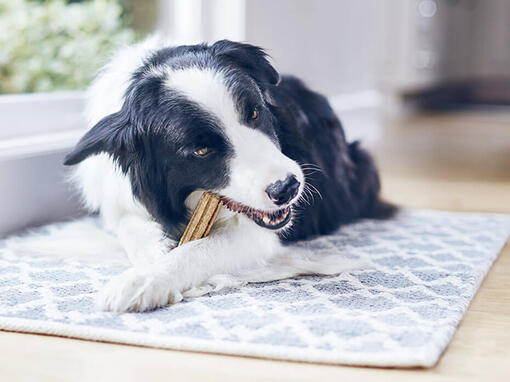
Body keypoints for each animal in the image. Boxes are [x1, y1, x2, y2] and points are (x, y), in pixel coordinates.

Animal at [62, 37, 394, 312]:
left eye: (255, 113)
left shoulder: (256, 236)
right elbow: (129, 227)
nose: (287, 187)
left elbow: (196, 251)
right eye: (200, 150)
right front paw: (152, 259)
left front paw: (142, 281)